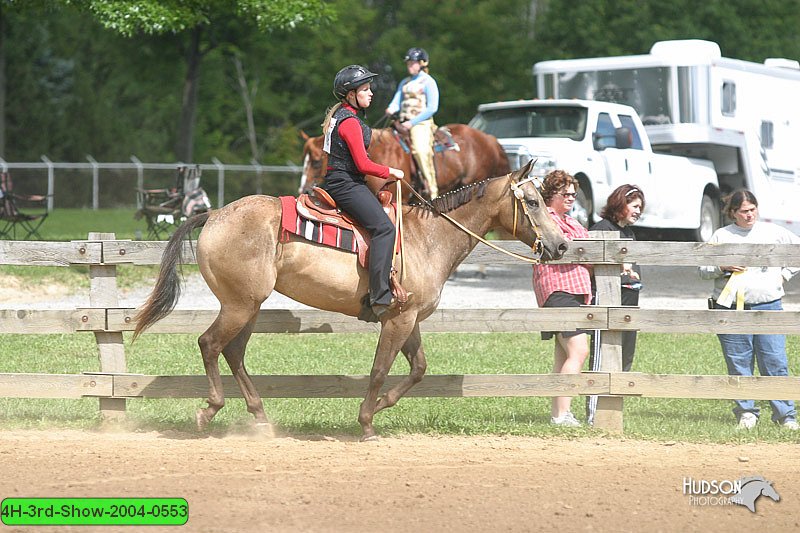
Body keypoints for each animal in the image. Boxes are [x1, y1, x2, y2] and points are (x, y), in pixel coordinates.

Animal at [133, 160, 568, 438]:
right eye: (532, 202)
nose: (561, 245)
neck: (427, 239)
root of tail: (215, 214)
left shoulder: (407, 318)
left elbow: (418, 369)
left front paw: (381, 407)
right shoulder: (398, 320)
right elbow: (379, 370)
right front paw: (367, 423)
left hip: (248, 306)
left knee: (233, 353)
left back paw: (260, 417)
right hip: (239, 305)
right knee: (210, 344)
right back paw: (209, 410)